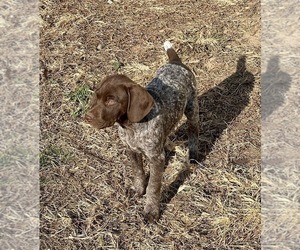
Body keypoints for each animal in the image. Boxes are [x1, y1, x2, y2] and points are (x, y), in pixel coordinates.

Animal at [85, 41, 199, 223]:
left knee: (194, 132)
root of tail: (176, 63)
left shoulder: (156, 158)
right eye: (97, 96)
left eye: (111, 101)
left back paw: (194, 157)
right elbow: (138, 172)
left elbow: (154, 186)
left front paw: (151, 211)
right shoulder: (131, 150)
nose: (87, 117)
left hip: (192, 109)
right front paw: (138, 190)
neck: (132, 127)